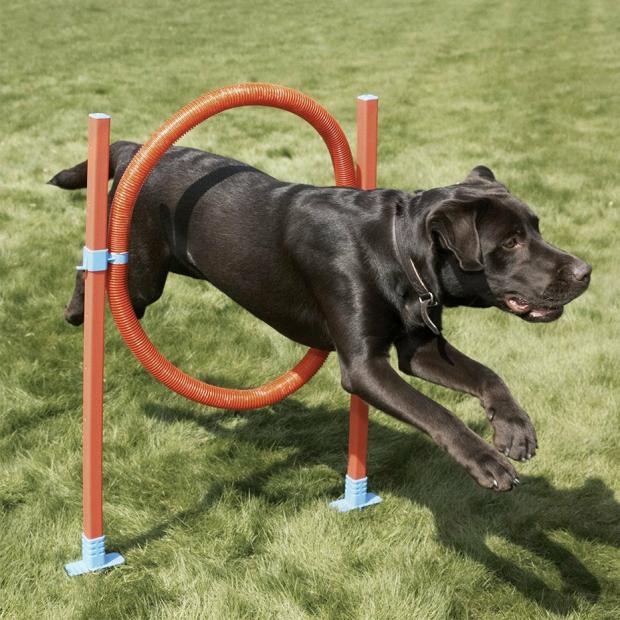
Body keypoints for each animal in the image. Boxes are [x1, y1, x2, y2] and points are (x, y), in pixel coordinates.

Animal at [48, 143, 592, 492]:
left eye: (536, 227)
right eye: (510, 242)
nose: (585, 271)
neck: (396, 249)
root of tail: (138, 148)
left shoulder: (418, 349)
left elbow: (487, 375)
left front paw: (514, 428)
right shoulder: (365, 366)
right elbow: (436, 413)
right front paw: (483, 459)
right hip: (143, 275)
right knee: (94, 270)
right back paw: (75, 309)